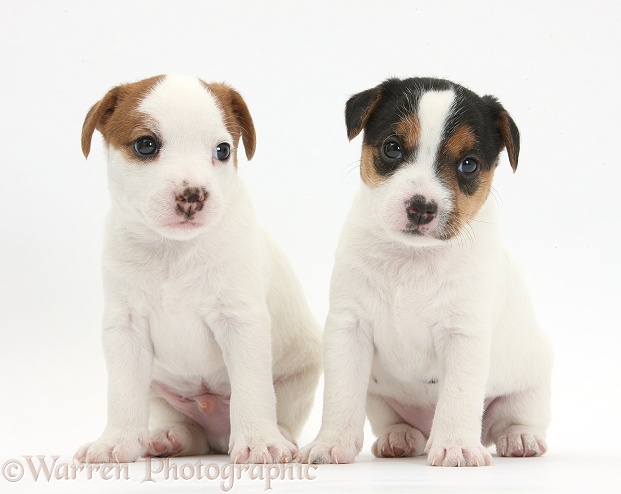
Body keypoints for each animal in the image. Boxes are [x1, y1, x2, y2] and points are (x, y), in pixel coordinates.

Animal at [75, 75, 322, 466]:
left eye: (222, 150)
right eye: (145, 145)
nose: (193, 195)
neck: (174, 251)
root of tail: (216, 434)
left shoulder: (241, 322)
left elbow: (251, 387)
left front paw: (258, 441)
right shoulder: (125, 326)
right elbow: (123, 390)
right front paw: (116, 440)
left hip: (299, 376)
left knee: (278, 410)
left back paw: (277, 435)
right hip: (160, 391)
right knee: (187, 429)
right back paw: (170, 437)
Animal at [298, 77, 548, 466]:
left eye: (469, 165)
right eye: (393, 148)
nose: (421, 207)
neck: (413, 258)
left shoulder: (463, 334)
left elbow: (458, 394)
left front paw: (457, 445)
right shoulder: (349, 328)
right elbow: (340, 394)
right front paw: (331, 443)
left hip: (529, 388)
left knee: (514, 418)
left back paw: (520, 438)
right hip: (380, 399)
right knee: (394, 421)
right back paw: (398, 437)